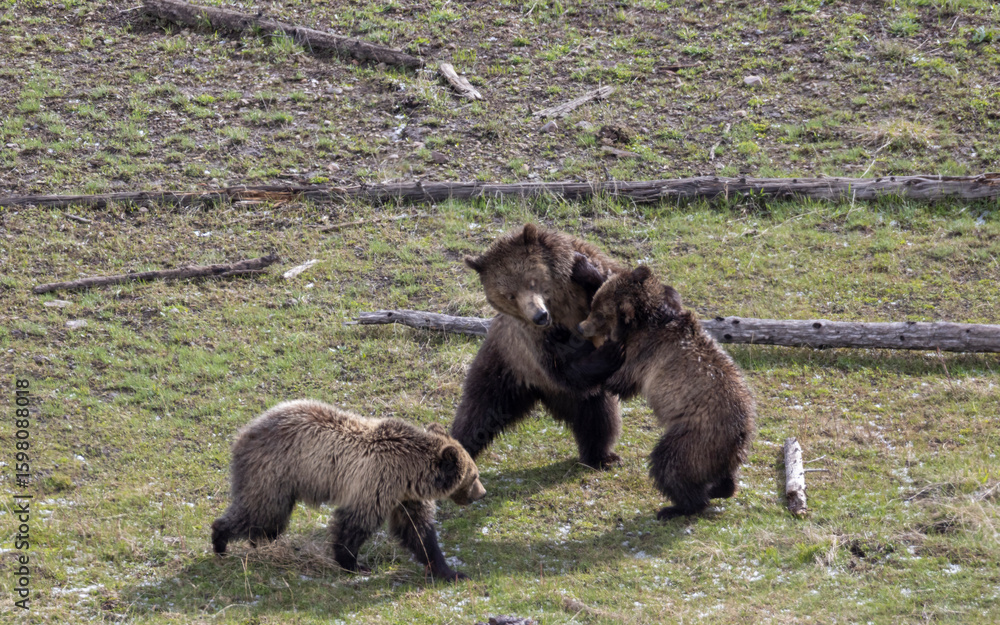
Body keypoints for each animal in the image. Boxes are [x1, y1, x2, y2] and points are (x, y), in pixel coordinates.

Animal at [211, 400, 486, 581]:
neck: (410, 473)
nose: (481, 493)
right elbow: (353, 525)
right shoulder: (375, 484)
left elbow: (418, 532)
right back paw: (221, 542)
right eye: (474, 475)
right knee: (259, 512)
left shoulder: (405, 497)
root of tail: (243, 433)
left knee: (268, 519)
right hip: (273, 473)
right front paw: (354, 564)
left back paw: (263, 543)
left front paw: (451, 572)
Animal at [451, 223, 627, 469]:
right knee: (477, 411)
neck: (560, 304)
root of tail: (537, 390)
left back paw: (602, 456)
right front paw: (609, 352)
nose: (539, 315)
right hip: (502, 363)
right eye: (509, 295)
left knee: (599, 414)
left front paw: (585, 269)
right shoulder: (532, 340)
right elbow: (561, 367)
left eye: (531, 281)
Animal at [547, 265, 756, 519]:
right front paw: (585, 270)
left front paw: (572, 347)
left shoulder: (644, 355)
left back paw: (678, 507)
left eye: (599, 314)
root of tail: (740, 433)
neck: (645, 323)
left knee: (670, 464)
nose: (580, 327)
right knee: (724, 476)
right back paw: (721, 488)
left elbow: (618, 380)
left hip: (696, 436)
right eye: (594, 304)